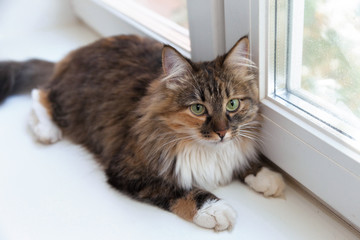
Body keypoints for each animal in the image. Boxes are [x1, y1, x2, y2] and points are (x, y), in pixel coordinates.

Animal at [0, 34, 284, 232]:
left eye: (232, 104)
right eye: (198, 108)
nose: (222, 132)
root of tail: (74, 54)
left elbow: (241, 161)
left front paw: (266, 176)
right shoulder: (128, 170)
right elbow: (180, 190)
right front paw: (215, 209)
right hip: (70, 106)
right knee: (40, 94)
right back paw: (46, 131)